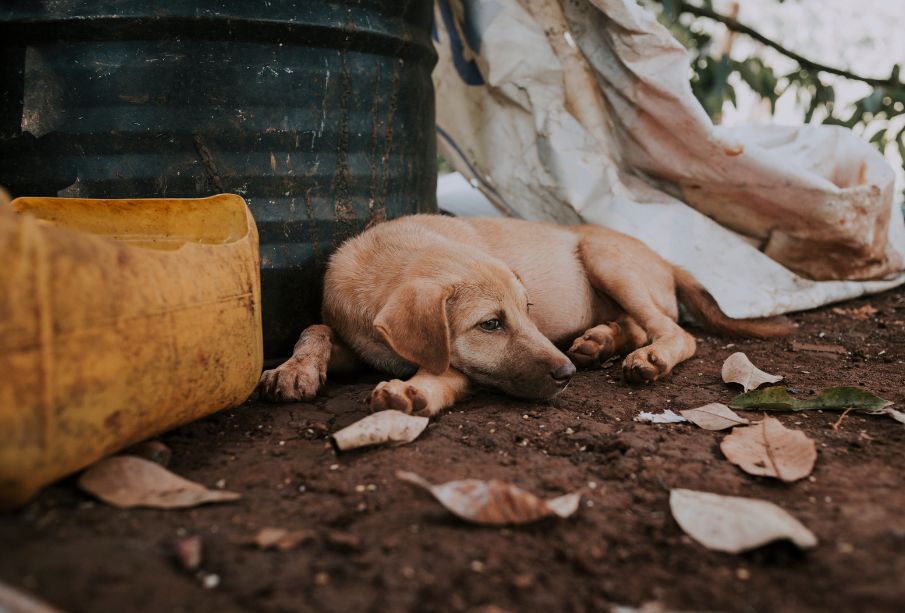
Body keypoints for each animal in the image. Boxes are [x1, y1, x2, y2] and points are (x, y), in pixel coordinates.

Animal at [258, 213, 788, 414]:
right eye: (491, 324)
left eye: (527, 311)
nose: (566, 375)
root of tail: (666, 260)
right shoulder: (359, 342)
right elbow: (316, 326)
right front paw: (294, 368)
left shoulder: (458, 366)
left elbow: (444, 372)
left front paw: (414, 391)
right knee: (640, 326)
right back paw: (600, 341)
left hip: (604, 256)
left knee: (675, 332)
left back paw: (645, 357)